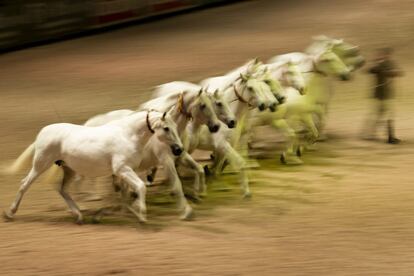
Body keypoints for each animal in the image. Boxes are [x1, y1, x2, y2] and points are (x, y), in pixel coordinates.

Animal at [2, 109, 182, 222]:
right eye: (166, 128)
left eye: (175, 126)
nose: (179, 149)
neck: (128, 135)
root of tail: (43, 133)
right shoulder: (122, 169)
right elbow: (139, 187)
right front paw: (142, 215)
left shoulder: (126, 171)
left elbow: (128, 191)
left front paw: (132, 211)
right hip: (41, 165)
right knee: (24, 184)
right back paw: (10, 213)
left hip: (69, 169)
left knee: (62, 189)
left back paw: (78, 216)